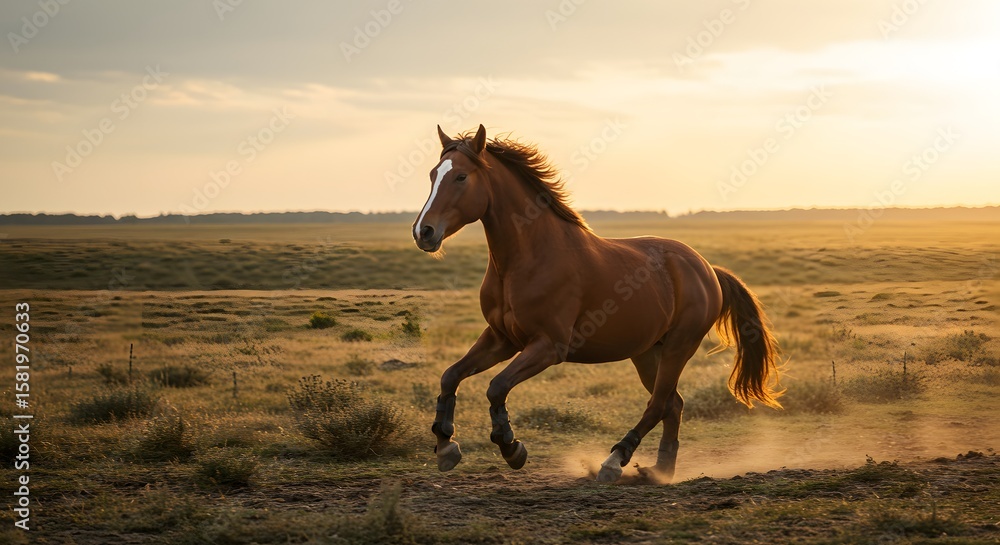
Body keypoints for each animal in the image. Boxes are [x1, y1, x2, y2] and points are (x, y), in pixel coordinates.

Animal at [412, 124, 782, 482]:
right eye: (432, 174)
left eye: (461, 177)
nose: (423, 232)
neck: (528, 257)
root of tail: (707, 269)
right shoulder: (501, 338)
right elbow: (450, 375)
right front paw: (445, 446)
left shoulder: (549, 346)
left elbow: (497, 387)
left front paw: (511, 448)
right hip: (648, 352)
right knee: (672, 404)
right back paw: (660, 470)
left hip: (679, 347)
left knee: (658, 404)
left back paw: (614, 462)